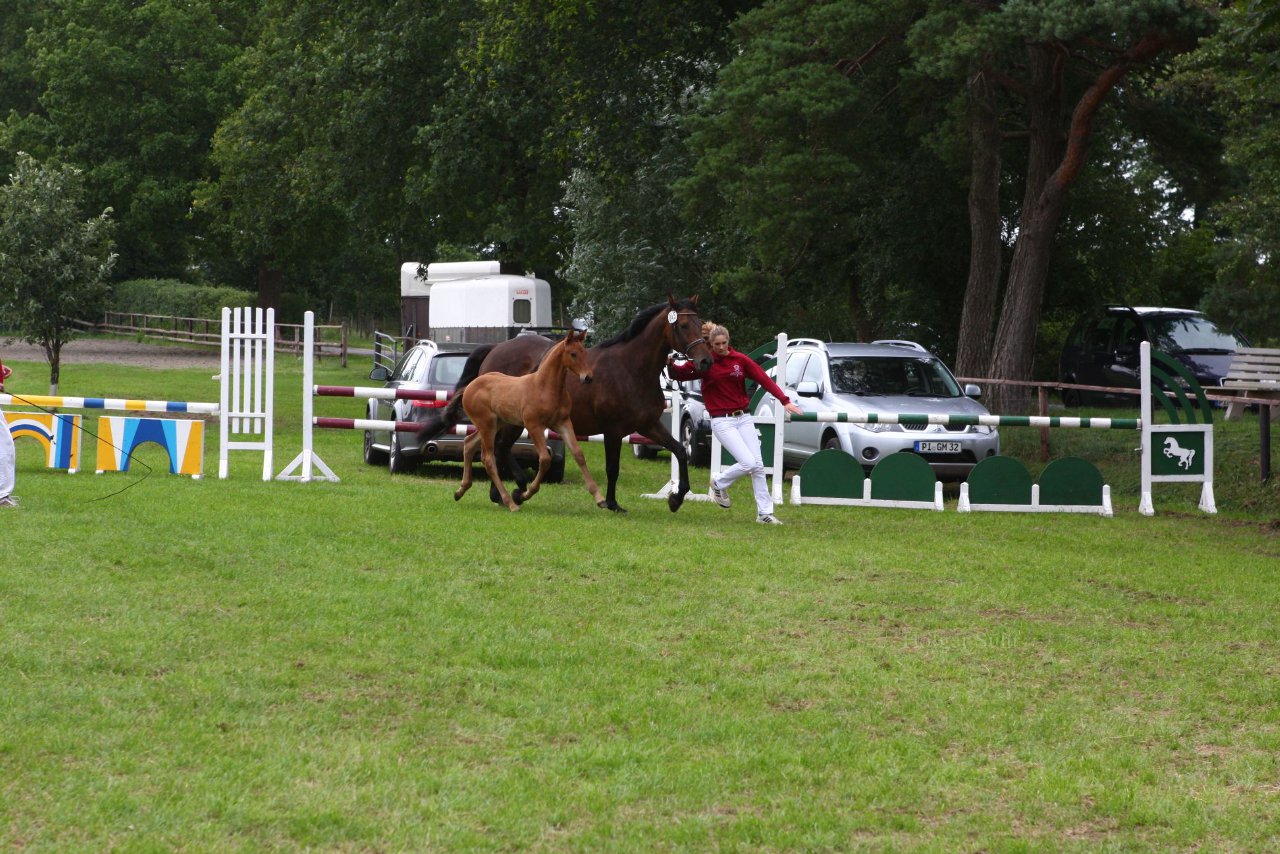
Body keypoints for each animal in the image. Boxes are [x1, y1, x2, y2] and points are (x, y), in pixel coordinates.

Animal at [455, 330, 604, 512]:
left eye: (585, 353)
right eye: (573, 354)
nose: (588, 377)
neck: (545, 387)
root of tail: (470, 386)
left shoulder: (563, 423)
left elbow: (578, 454)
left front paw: (599, 498)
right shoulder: (534, 426)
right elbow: (545, 459)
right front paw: (525, 494)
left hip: (496, 424)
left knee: (469, 443)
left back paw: (461, 490)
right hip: (487, 425)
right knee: (488, 459)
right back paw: (510, 503)